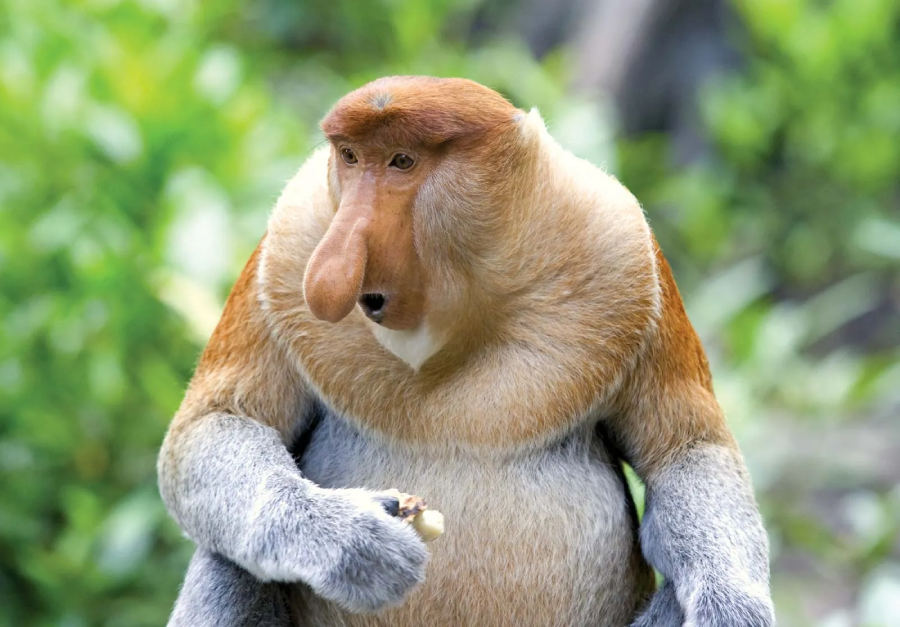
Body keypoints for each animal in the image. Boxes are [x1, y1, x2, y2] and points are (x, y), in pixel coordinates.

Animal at [158, 76, 775, 627]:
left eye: (402, 162)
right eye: (351, 158)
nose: (328, 274)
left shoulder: (623, 247)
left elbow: (687, 451)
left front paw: (732, 610)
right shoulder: (288, 243)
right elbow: (214, 426)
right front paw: (354, 541)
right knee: (229, 558)